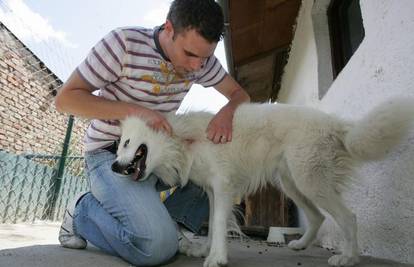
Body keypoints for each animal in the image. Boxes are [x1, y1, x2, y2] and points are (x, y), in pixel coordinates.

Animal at [111, 100, 412, 267]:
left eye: (126, 143)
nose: (113, 167)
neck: (183, 140)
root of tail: (335, 124)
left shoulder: (222, 186)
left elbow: (218, 224)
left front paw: (216, 258)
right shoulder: (213, 192)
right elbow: (214, 225)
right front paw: (207, 250)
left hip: (310, 181)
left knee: (349, 217)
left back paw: (348, 258)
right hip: (293, 183)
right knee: (317, 217)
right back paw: (300, 245)